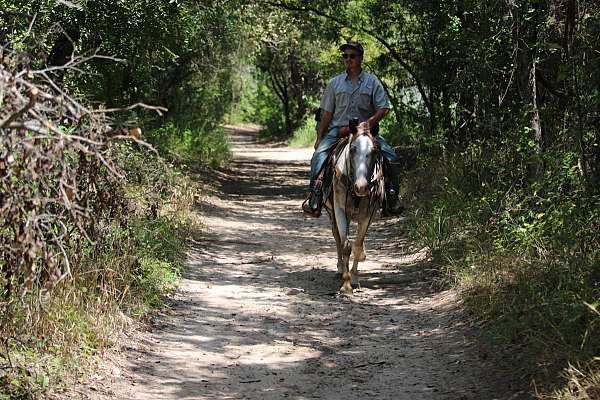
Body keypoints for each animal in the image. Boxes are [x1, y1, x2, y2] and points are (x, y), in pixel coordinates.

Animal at [324, 119, 384, 294]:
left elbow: (357, 246)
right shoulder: (339, 210)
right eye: (352, 149)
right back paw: (339, 268)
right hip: (332, 213)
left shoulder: (368, 214)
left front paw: (355, 278)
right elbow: (345, 246)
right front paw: (345, 285)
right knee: (337, 237)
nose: (361, 187)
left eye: (374, 151)